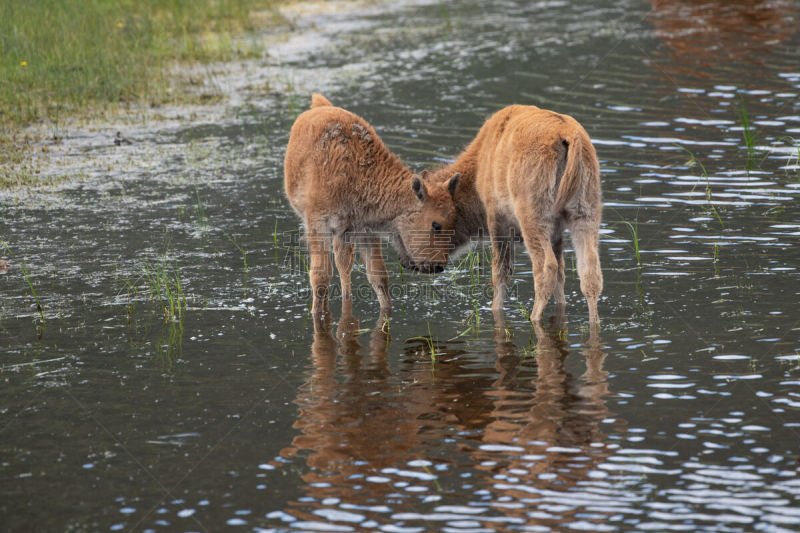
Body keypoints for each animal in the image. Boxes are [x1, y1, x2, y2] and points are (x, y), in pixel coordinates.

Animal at [286, 95, 462, 314]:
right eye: (436, 225)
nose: (438, 266)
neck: (358, 172)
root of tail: (320, 106)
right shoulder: (318, 225)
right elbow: (320, 277)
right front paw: (316, 313)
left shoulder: (364, 231)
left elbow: (378, 275)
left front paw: (387, 311)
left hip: (344, 235)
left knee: (344, 266)